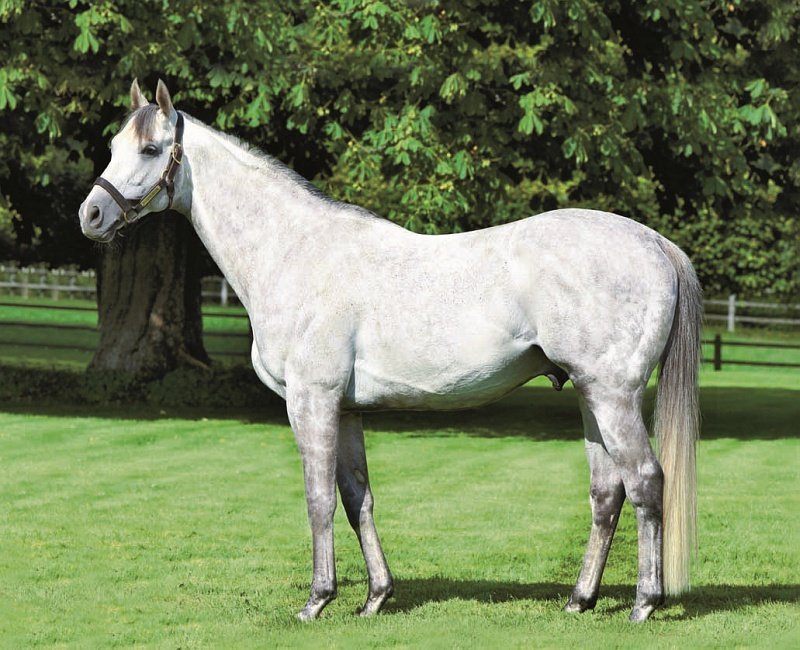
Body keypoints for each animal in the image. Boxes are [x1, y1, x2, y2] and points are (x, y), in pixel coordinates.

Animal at [79, 79, 701, 622]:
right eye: (112, 147)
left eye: (151, 148)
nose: (91, 215)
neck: (294, 251)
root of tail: (655, 243)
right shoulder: (347, 409)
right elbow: (357, 497)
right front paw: (376, 597)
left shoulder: (311, 402)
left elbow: (319, 499)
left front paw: (318, 600)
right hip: (590, 398)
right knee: (607, 492)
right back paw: (579, 600)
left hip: (613, 396)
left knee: (646, 481)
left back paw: (644, 604)